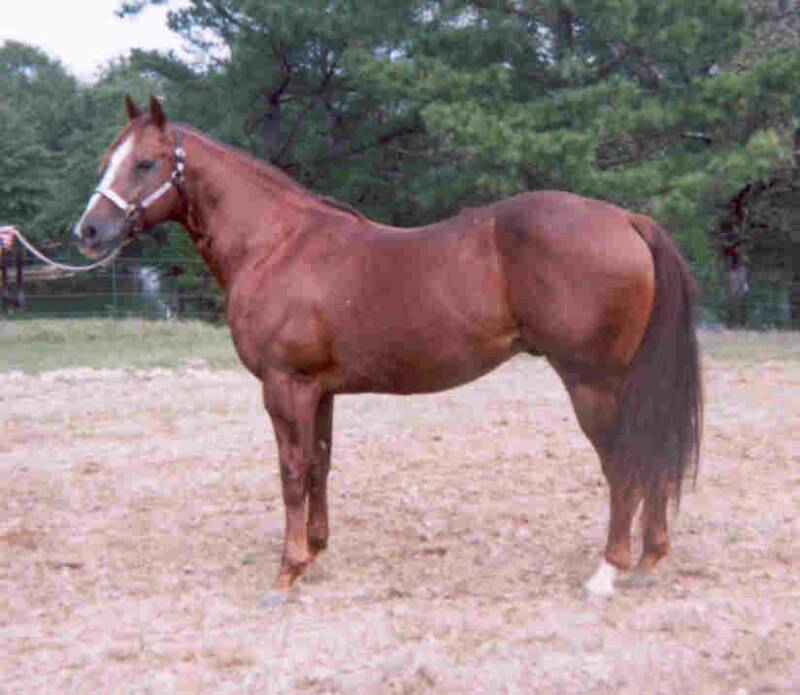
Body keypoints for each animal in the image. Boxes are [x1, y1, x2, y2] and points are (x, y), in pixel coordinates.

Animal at [75, 95, 701, 600]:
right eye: (108, 159)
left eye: (146, 162)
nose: (89, 232)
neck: (277, 244)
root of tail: (626, 218)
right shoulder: (320, 391)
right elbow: (319, 464)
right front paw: (315, 553)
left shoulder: (285, 387)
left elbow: (291, 470)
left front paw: (287, 570)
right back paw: (649, 559)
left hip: (593, 382)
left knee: (623, 462)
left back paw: (608, 571)